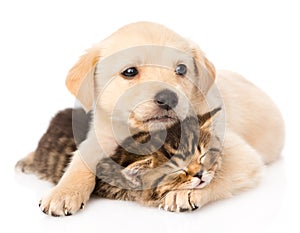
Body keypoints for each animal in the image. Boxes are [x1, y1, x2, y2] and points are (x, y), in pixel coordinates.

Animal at [34, 20, 284, 216]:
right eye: (130, 72)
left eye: (181, 69)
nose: (168, 98)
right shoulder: (100, 139)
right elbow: (79, 162)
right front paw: (63, 192)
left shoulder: (241, 154)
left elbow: (217, 173)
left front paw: (186, 191)